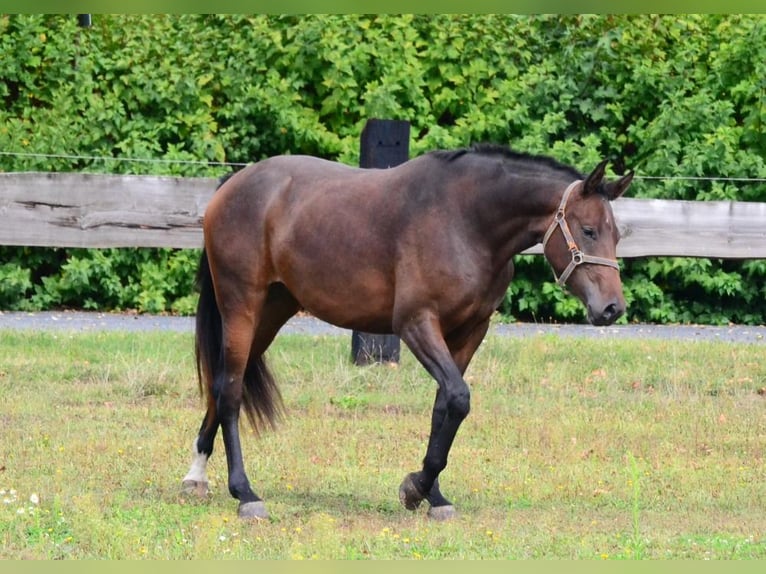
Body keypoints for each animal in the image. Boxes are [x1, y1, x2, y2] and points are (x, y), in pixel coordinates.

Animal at [182, 144, 636, 520]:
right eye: (589, 230)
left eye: (617, 234)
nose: (612, 309)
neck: (465, 219)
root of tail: (232, 185)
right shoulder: (416, 324)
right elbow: (457, 397)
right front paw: (415, 487)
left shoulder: (470, 331)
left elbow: (445, 406)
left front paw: (432, 495)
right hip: (242, 308)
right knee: (231, 390)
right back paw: (245, 493)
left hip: (272, 313)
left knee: (225, 384)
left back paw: (197, 476)